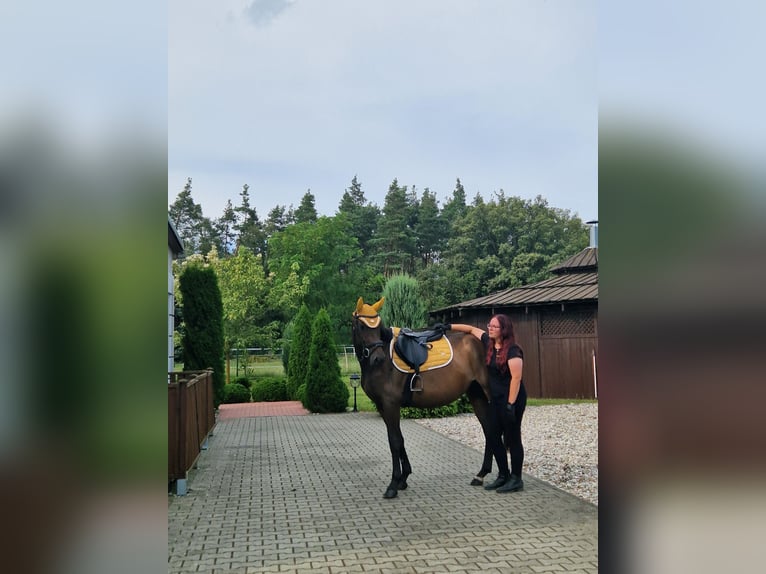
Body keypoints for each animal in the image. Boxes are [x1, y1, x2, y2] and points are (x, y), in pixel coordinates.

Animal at [354, 296, 498, 500]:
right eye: (361, 326)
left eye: (378, 326)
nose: (377, 358)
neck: (383, 366)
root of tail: (487, 340)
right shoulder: (383, 407)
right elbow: (398, 438)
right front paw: (403, 479)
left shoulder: (391, 405)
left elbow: (394, 441)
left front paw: (393, 485)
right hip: (476, 395)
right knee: (488, 430)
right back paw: (481, 474)